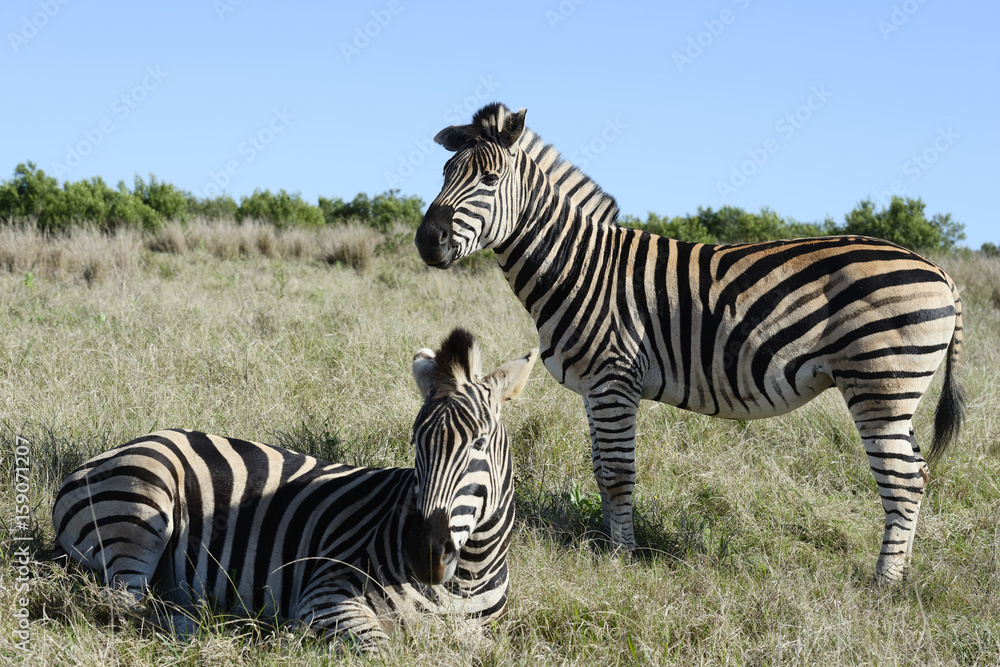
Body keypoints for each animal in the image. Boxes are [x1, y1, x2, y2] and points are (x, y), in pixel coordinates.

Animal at [52, 328, 538, 647]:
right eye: (415, 444)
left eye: (478, 444)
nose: (423, 555)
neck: (468, 576)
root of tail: (110, 452)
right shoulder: (328, 592)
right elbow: (381, 650)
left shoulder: (484, 635)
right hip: (141, 509)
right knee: (121, 606)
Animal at [414, 102, 965, 582]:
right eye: (443, 174)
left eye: (489, 180)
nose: (426, 240)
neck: (580, 266)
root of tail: (939, 271)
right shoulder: (595, 387)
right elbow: (599, 469)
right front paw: (606, 547)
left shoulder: (615, 378)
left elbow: (617, 473)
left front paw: (621, 558)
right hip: (896, 393)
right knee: (918, 472)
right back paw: (902, 572)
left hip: (879, 384)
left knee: (902, 480)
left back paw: (883, 584)